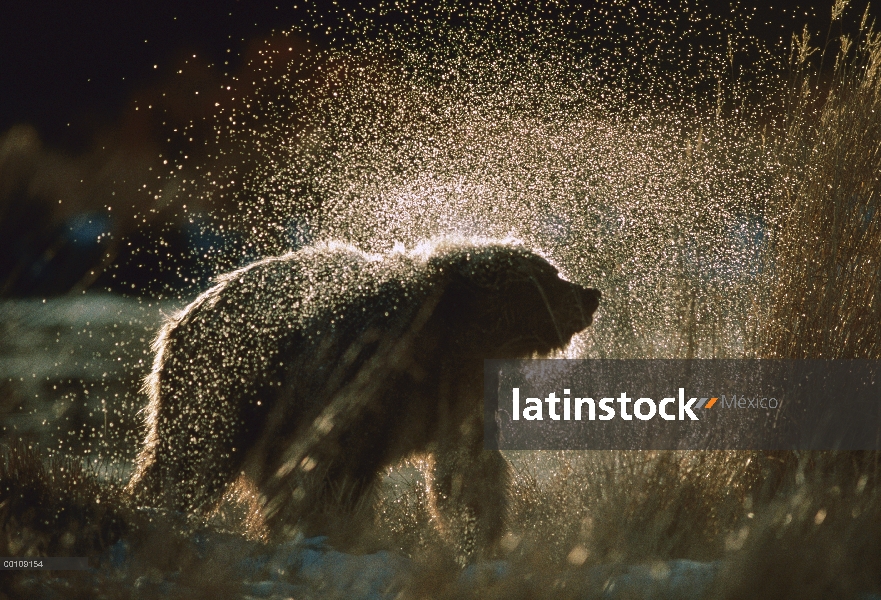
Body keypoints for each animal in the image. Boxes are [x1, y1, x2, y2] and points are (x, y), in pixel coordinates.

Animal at [127, 238, 600, 556]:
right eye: (548, 276)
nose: (590, 294)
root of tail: (180, 317)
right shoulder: (356, 378)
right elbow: (333, 470)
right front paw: (334, 530)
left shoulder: (459, 392)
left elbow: (467, 468)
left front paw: (483, 537)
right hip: (224, 386)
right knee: (191, 457)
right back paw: (156, 511)